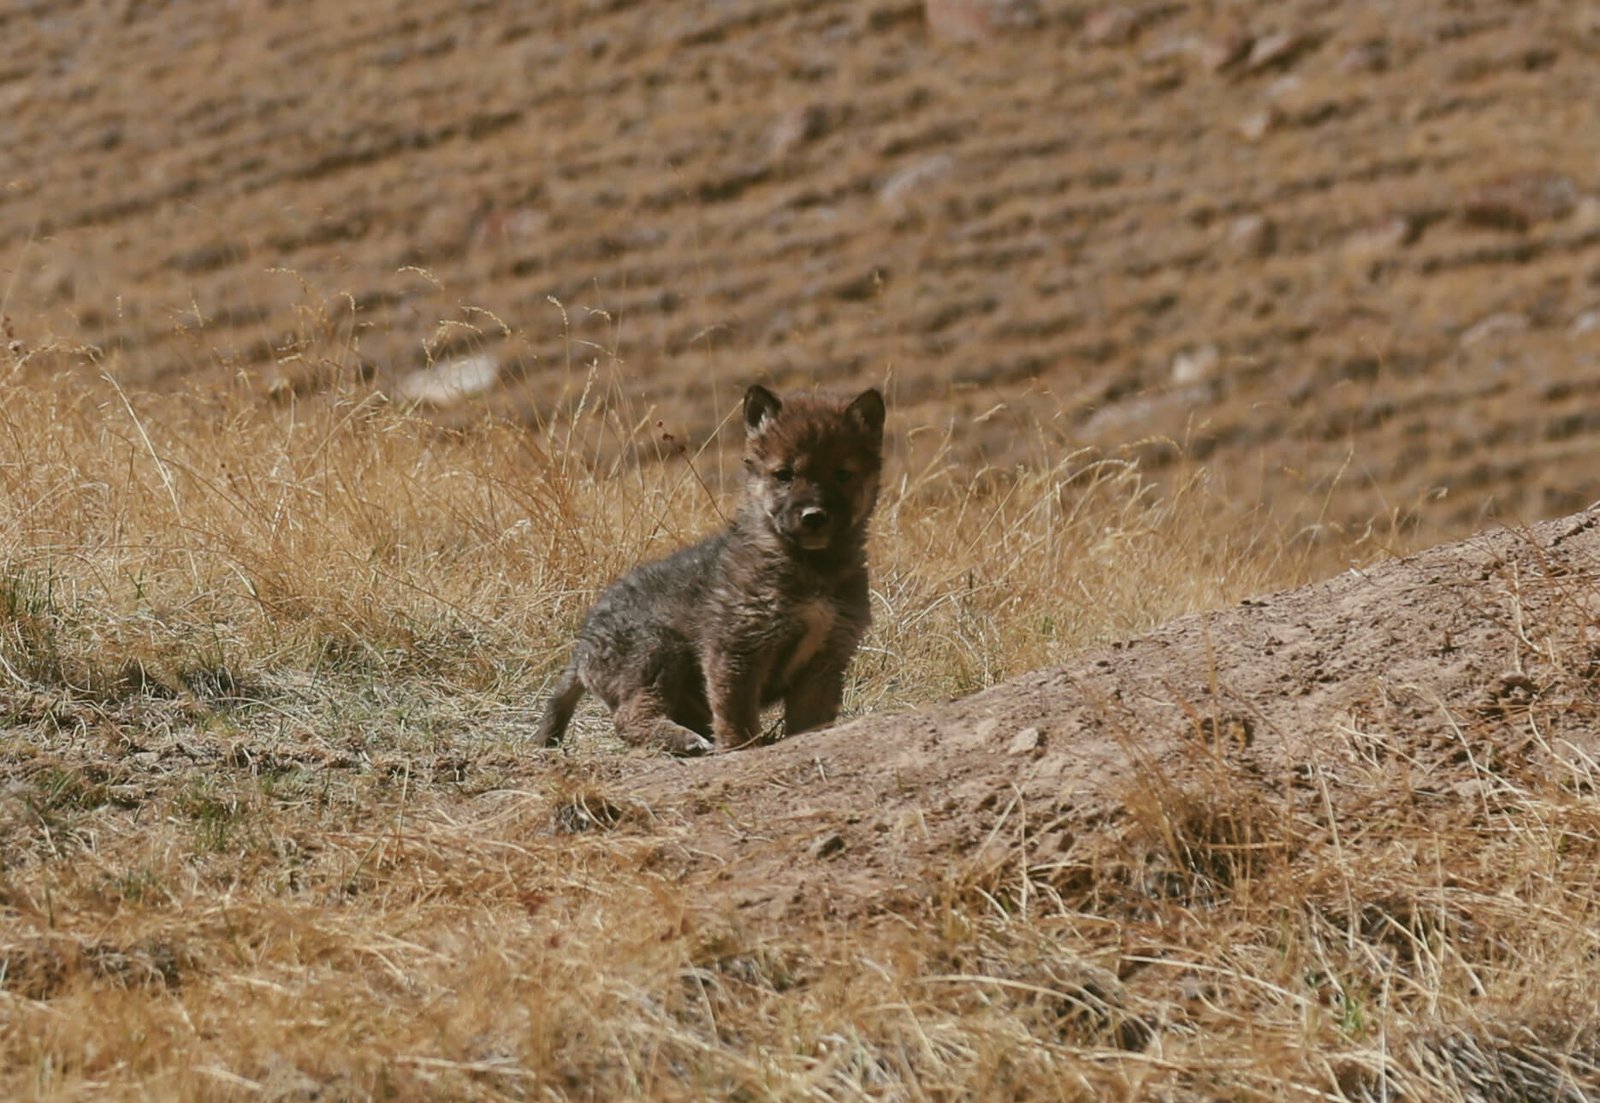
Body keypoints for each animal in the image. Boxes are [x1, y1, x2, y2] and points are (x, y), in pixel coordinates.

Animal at [535, 384, 886, 754]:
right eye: (784, 475)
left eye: (842, 474)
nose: (814, 517)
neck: (809, 566)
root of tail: (582, 648)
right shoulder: (735, 649)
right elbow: (737, 716)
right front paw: (741, 748)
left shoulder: (825, 659)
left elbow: (809, 723)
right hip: (656, 650)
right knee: (629, 717)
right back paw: (686, 740)